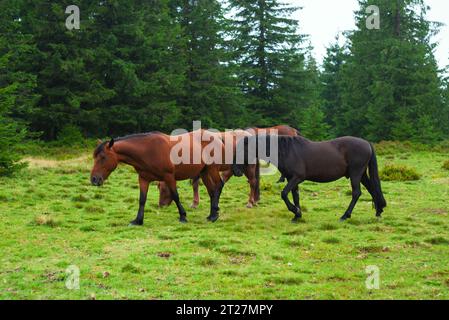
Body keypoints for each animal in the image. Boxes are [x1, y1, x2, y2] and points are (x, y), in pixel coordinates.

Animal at [89, 130, 226, 225]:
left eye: (103, 157)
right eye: (94, 157)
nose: (94, 179)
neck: (147, 151)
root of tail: (217, 138)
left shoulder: (169, 176)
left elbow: (175, 196)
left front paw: (183, 216)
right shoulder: (143, 179)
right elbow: (142, 199)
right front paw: (138, 220)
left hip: (212, 169)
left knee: (218, 185)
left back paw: (214, 215)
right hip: (204, 172)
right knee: (211, 191)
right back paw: (211, 215)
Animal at [156, 125, 300, 210]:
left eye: (163, 189)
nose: (161, 205)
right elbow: (196, 185)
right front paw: (196, 202)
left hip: (248, 167)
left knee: (253, 182)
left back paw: (250, 201)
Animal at [231, 135, 384, 222]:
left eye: (241, 150)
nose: (235, 171)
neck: (287, 150)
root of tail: (367, 143)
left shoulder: (297, 177)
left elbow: (284, 194)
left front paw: (296, 211)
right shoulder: (291, 179)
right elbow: (295, 196)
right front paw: (297, 215)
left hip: (355, 173)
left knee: (356, 193)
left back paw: (345, 215)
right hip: (361, 174)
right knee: (372, 189)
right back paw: (378, 211)